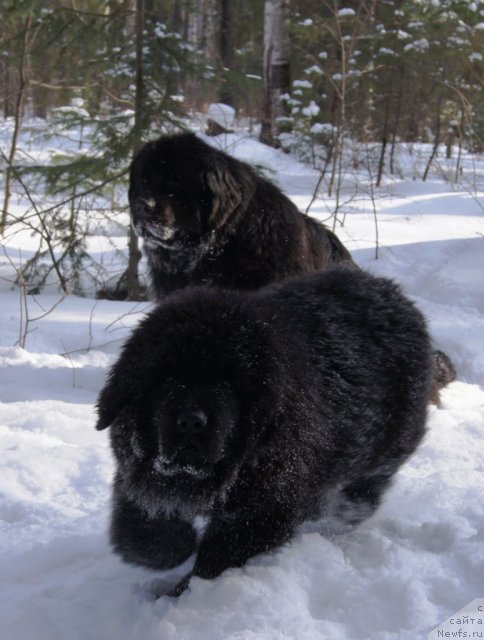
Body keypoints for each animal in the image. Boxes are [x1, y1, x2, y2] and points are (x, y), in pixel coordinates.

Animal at [96, 266, 432, 596]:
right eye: (167, 378)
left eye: (227, 383)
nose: (192, 421)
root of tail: (395, 295)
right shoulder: (139, 468)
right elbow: (143, 523)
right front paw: (171, 546)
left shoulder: (265, 507)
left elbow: (217, 556)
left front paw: (185, 592)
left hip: (383, 451)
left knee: (361, 494)